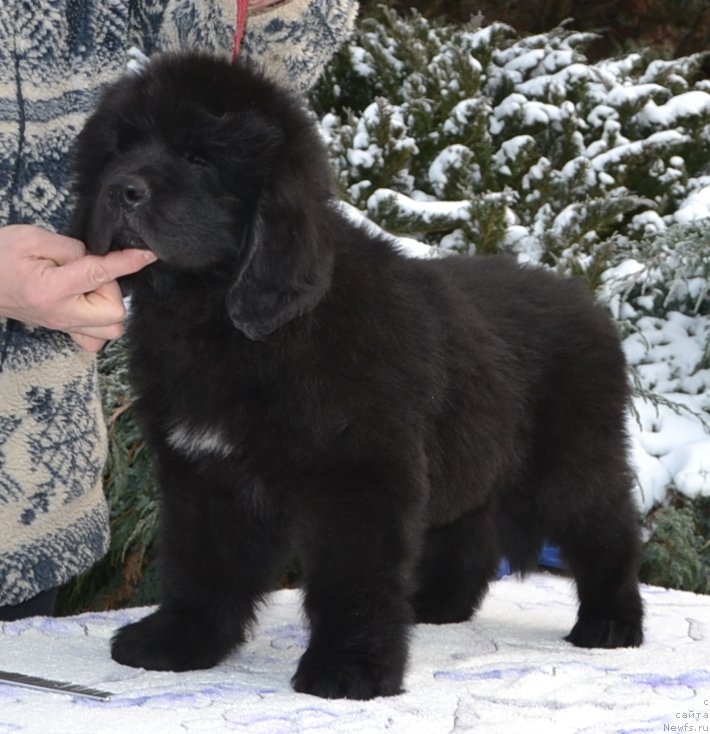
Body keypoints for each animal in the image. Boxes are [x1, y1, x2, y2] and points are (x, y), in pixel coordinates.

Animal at [71, 53, 644, 700]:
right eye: (119, 150)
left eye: (199, 159)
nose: (121, 190)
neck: (216, 317)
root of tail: (588, 301)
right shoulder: (202, 472)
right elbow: (202, 564)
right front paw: (178, 641)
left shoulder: (358, 476)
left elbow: (352, 580)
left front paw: (350, 668)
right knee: (469, 531)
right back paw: (436, 604)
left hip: (569, 463)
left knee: (609, 531)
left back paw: (611, 622)